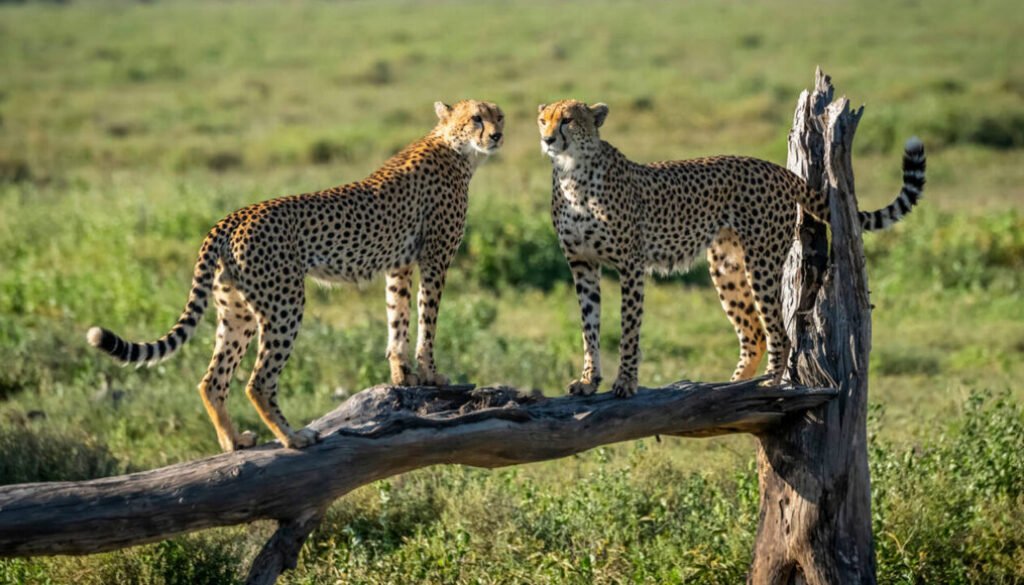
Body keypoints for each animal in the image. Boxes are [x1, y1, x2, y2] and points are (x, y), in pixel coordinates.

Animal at [87, 99, 505, 451]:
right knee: (258, 382)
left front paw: (403, 376)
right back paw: (293, 437)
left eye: (498, 116)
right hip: (284, 304)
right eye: (476, 119)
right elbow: (426, 321)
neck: (455, 148)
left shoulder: (398, 265)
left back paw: (234, 441)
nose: (497, 135)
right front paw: (431, 375)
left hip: (236, 311)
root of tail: (232, 217)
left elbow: (397, 319)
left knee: (212, 380)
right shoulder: (435, 259)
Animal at [537, 99, 925, 398]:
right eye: (544, 120)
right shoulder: (583, 264)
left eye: (568, 120)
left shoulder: (631, 266)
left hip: (762, 262)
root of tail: (777, 169)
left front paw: (626, 383)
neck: (574, 174)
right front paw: (588, 381)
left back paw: (768, 386)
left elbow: (628, 328)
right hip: (726, 267)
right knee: (753, 334)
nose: (547, 139)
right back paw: (731, 386)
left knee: (778, 332)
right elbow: (590, 327)